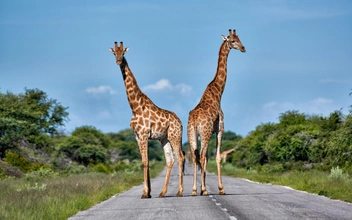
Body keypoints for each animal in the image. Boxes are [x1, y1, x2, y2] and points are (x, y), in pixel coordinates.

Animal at [109, 41, 186, 199]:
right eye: (114, 53)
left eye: (123, 53)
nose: (118, 61)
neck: (135, 106)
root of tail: (180, 122)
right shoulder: (137, 136)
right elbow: (146, 162)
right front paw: (149, 192)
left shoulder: (144, 134)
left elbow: (144, 162)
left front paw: (145, 193)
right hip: (164, 138)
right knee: (170, 160)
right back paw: (162, 192)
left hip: (175, 136)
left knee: (181, 157)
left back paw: (179, 192)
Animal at [187, 29, 245, 196]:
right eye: (232, 40)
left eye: (239, 38)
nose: (243, 48)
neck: (218, 92)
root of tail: (194, 120)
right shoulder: (219, 129)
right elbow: (217, 157)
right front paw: (220, 188)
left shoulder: (208, 133)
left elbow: (207, 158)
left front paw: (202, 188)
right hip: (205, 133)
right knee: (200, 155)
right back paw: (204, 190)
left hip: (192, 134)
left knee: (195, 156)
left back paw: (194, 190)